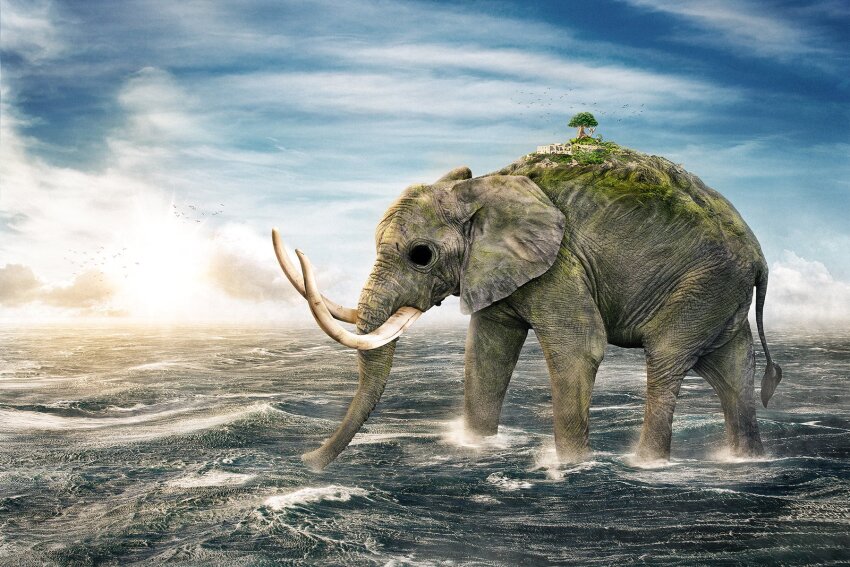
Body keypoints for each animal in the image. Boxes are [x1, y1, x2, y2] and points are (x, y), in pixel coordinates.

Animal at [273, 152, 782, 471]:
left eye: (421, 255)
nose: (306, 464)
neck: (482, 186)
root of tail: (760, 258)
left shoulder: (560, 262)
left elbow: (579, 348)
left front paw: (571, 466)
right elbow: (486, 351)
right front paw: (475, 449)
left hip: (702, 287)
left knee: (667, 361)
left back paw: (647, 465)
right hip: (718, 296)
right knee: (732, 371)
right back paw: (746, 462)